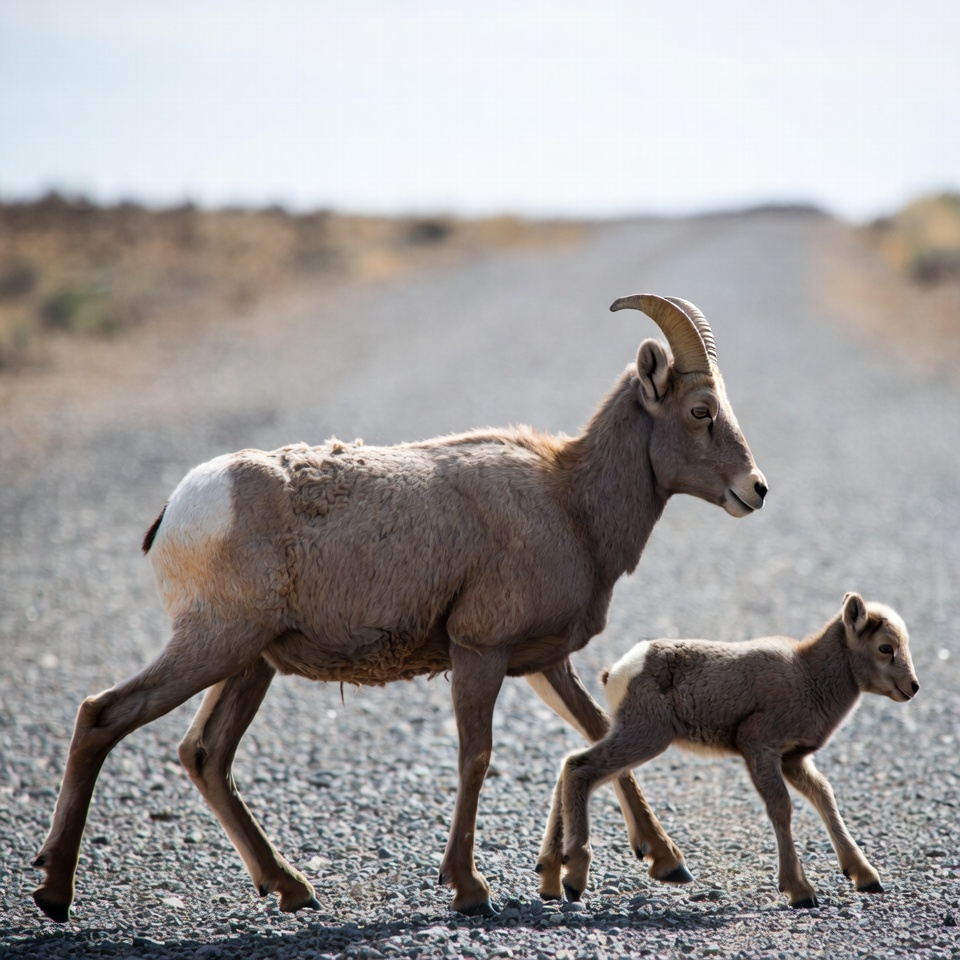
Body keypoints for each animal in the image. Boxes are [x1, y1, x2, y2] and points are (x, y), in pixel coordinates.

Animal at [32, 293, 768, 922]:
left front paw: (664, 863)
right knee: (102, 716)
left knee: (205, 755)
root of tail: (182, 508)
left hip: (249, 664)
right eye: (701, 410)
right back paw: (54, 893)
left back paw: (292, 889)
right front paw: (470, 891)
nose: (755, 489)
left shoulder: (543, 664)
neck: (570, 503)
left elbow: (596, 732)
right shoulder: (479, 653)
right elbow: (477, 757)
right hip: (212, 646)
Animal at [537, 592, 919, 909]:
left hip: (634, 736)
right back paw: (575, 881)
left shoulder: (793, 760)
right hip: (644, 736)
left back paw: (551, 881)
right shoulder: (759, 747)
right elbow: (781, 808)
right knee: (579, 768)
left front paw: (865, 877)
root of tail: (617, 672)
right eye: (886, 647)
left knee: (568, 767)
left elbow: (823, 796)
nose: (913, 687)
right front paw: (800, 892)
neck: (809, 676)